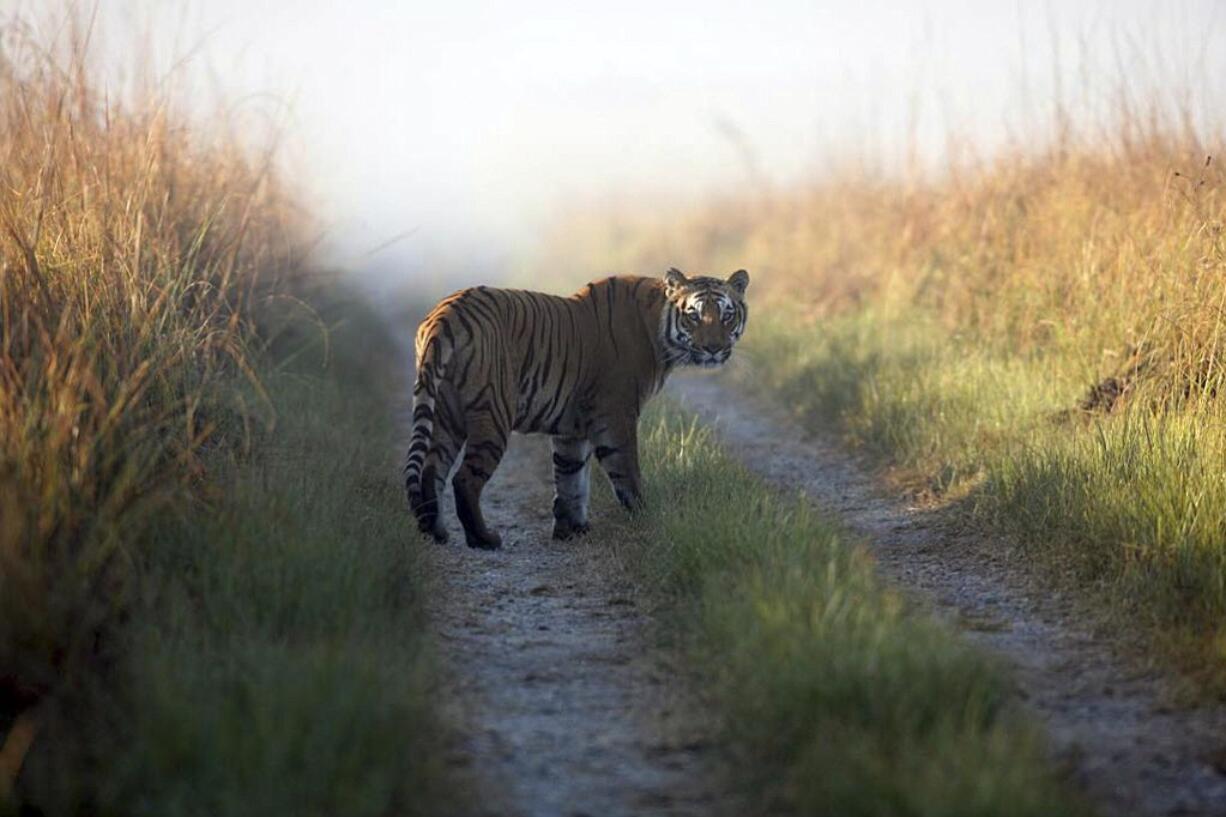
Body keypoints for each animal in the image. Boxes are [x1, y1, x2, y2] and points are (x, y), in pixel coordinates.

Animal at [404, 267, 745, 547]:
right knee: (464, 479)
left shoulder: (571, 428)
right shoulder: (617, 415)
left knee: (432, 469)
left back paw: (436, 531)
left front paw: (572, 530)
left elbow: (571, 476)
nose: (714, 348)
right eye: (694, 315)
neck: (658, 331)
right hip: (492, 414)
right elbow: (626, 473)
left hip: (446, 414)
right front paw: (647, 520)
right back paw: (483, 539)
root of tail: (444, 316)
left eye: (727, 316)